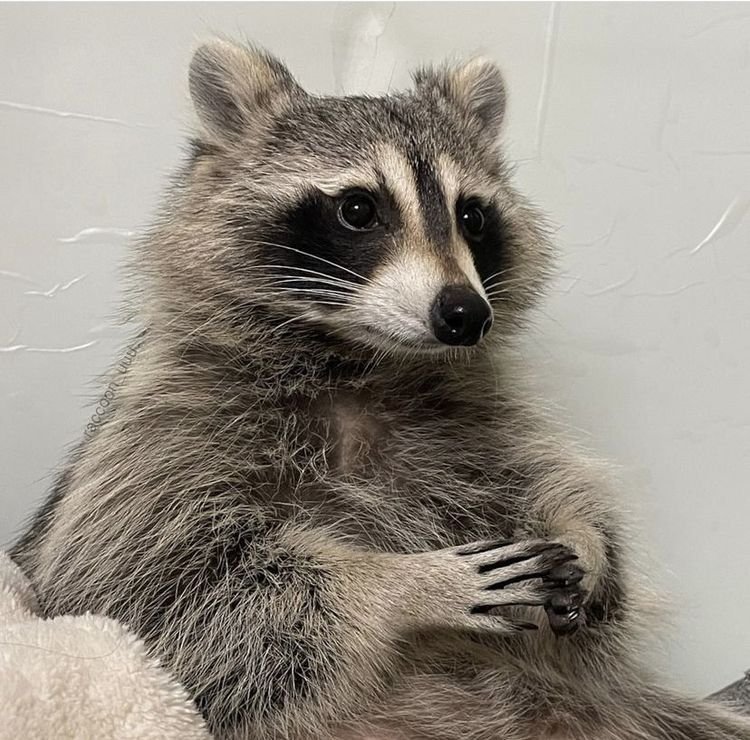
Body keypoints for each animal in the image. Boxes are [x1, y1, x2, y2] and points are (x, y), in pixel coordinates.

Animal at [12, 39, 750, 740]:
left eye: (472, 215)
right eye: (358, 209)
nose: (465, 315)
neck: (366, 363)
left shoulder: (479, 414)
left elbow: (550, 476)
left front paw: (586, 539)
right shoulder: (161, 434)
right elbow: (159, 588)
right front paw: (400, 584)